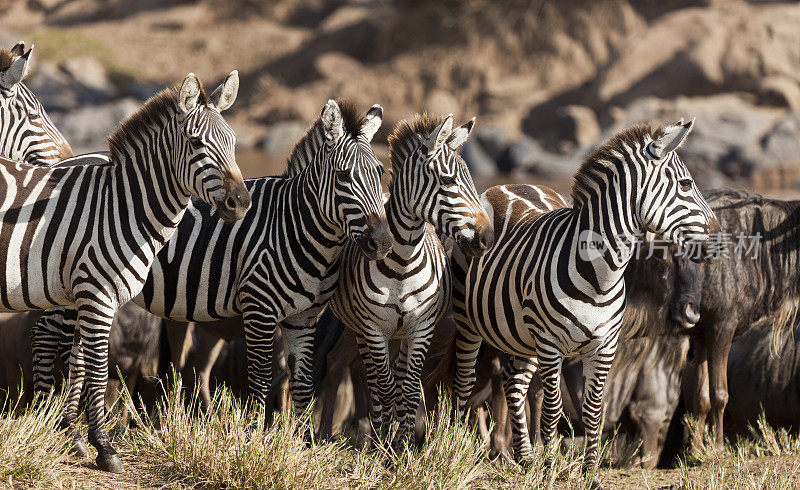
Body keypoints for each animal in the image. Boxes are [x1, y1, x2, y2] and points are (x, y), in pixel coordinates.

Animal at [0, 71, 250, 472]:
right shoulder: (96, 293)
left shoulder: (98, 296)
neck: (122, 207)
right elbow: (100, 370)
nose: (241, 203)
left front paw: (81, 439)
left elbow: (84, 363)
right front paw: (104, 448)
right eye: (196, 143)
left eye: (233, 143)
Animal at [31, 98, 394, 448]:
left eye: (381, 173)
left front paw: (302, 446)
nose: (382, 242)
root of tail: (62, 163)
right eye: (344, 176)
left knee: (79, 351)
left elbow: (302, 384)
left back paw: (69, 425)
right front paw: (254, 441)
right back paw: (48, 421)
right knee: (45, 338)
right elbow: (260, 377)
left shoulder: (304, 318)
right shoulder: (258, 307)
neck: (296, 227)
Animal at [330, 113, 494, 446]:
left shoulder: (422, 327)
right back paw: (378, 434)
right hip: (363, 329)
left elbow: (407, 387)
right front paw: (385, 444)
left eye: (472, 181)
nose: (487, 238)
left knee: (399, 376)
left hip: (403, 333)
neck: (403, 264)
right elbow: (384, 385)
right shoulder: (373, 328)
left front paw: (404, 443)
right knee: (371, 378)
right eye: (448, 181)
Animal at [446, 119, 716, 486]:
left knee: (514, 383)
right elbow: (552, 411)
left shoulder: (603, 346)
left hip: (522, 334)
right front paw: (549, 472)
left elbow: (593, 410)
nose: (715, 233)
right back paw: (457, 451)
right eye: (686, 184)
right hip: (470, 323)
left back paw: (525, 459)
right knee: (465, 382)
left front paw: (590, 474)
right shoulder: (551, 345)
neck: (601, 274)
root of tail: (506, 184)